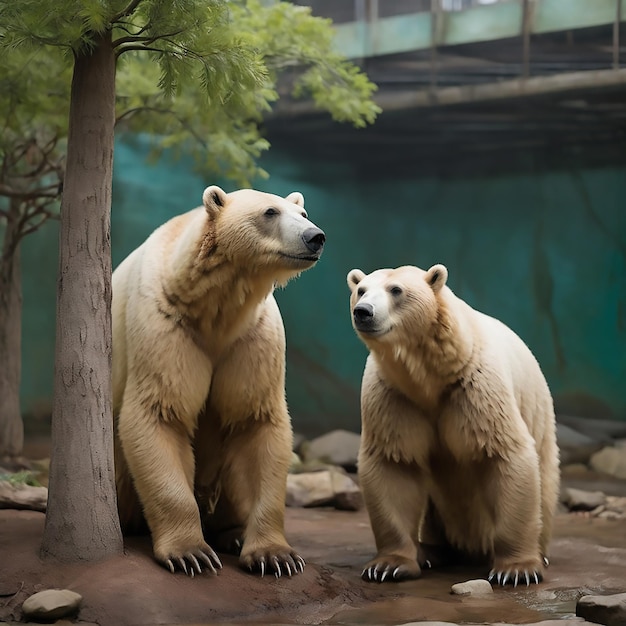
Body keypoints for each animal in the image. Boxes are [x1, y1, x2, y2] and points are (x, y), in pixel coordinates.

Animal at [111, 184, 324, 576]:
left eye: (302, 214)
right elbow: (160, 412)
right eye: (270, 212)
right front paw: (190, 553)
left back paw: (233, 533)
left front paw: (275, 555)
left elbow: (254, 422)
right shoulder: (164, 322)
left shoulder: (252, 335)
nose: (314, 237)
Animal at [348, 264, 560, 584]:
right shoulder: (394, 395)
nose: (363, 311)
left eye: (396, 290)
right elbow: (395, 463)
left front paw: (516, 570)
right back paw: (431, 551)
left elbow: (503, 453)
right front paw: (387, 565)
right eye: (361, 290)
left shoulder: (476, 388)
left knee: (545, 484)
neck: (431, 376)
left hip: (542, 420)